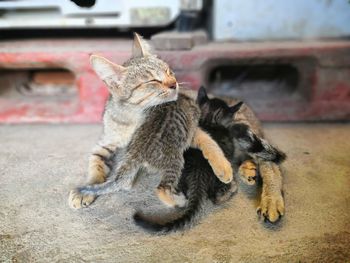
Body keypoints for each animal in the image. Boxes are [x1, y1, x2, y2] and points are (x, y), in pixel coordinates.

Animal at [68, 33, 232, 210]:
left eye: (168, 71)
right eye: (152, 81)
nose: (174, 84)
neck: (133, 119)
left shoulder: (188, 129)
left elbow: (209, 143)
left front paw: (222, 166)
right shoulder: (105, 143)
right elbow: (95, 163)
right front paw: (86, 188)